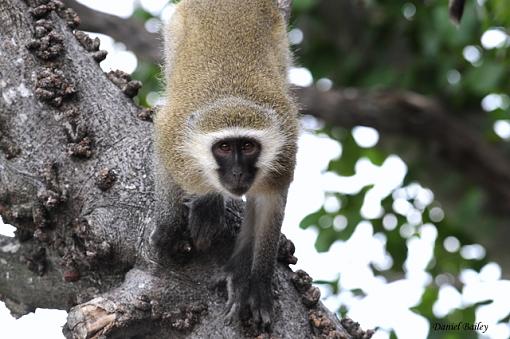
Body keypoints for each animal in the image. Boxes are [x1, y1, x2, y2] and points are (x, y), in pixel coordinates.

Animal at [149, 0, 296, 332]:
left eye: (249, 147)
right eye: (225, 148)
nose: (238, 172)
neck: (232, 97)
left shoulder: (284, 152)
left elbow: (268, 205)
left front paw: (253, 281)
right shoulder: (172, 139)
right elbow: (164, 161)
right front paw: (168, 229)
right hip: (175, 29)